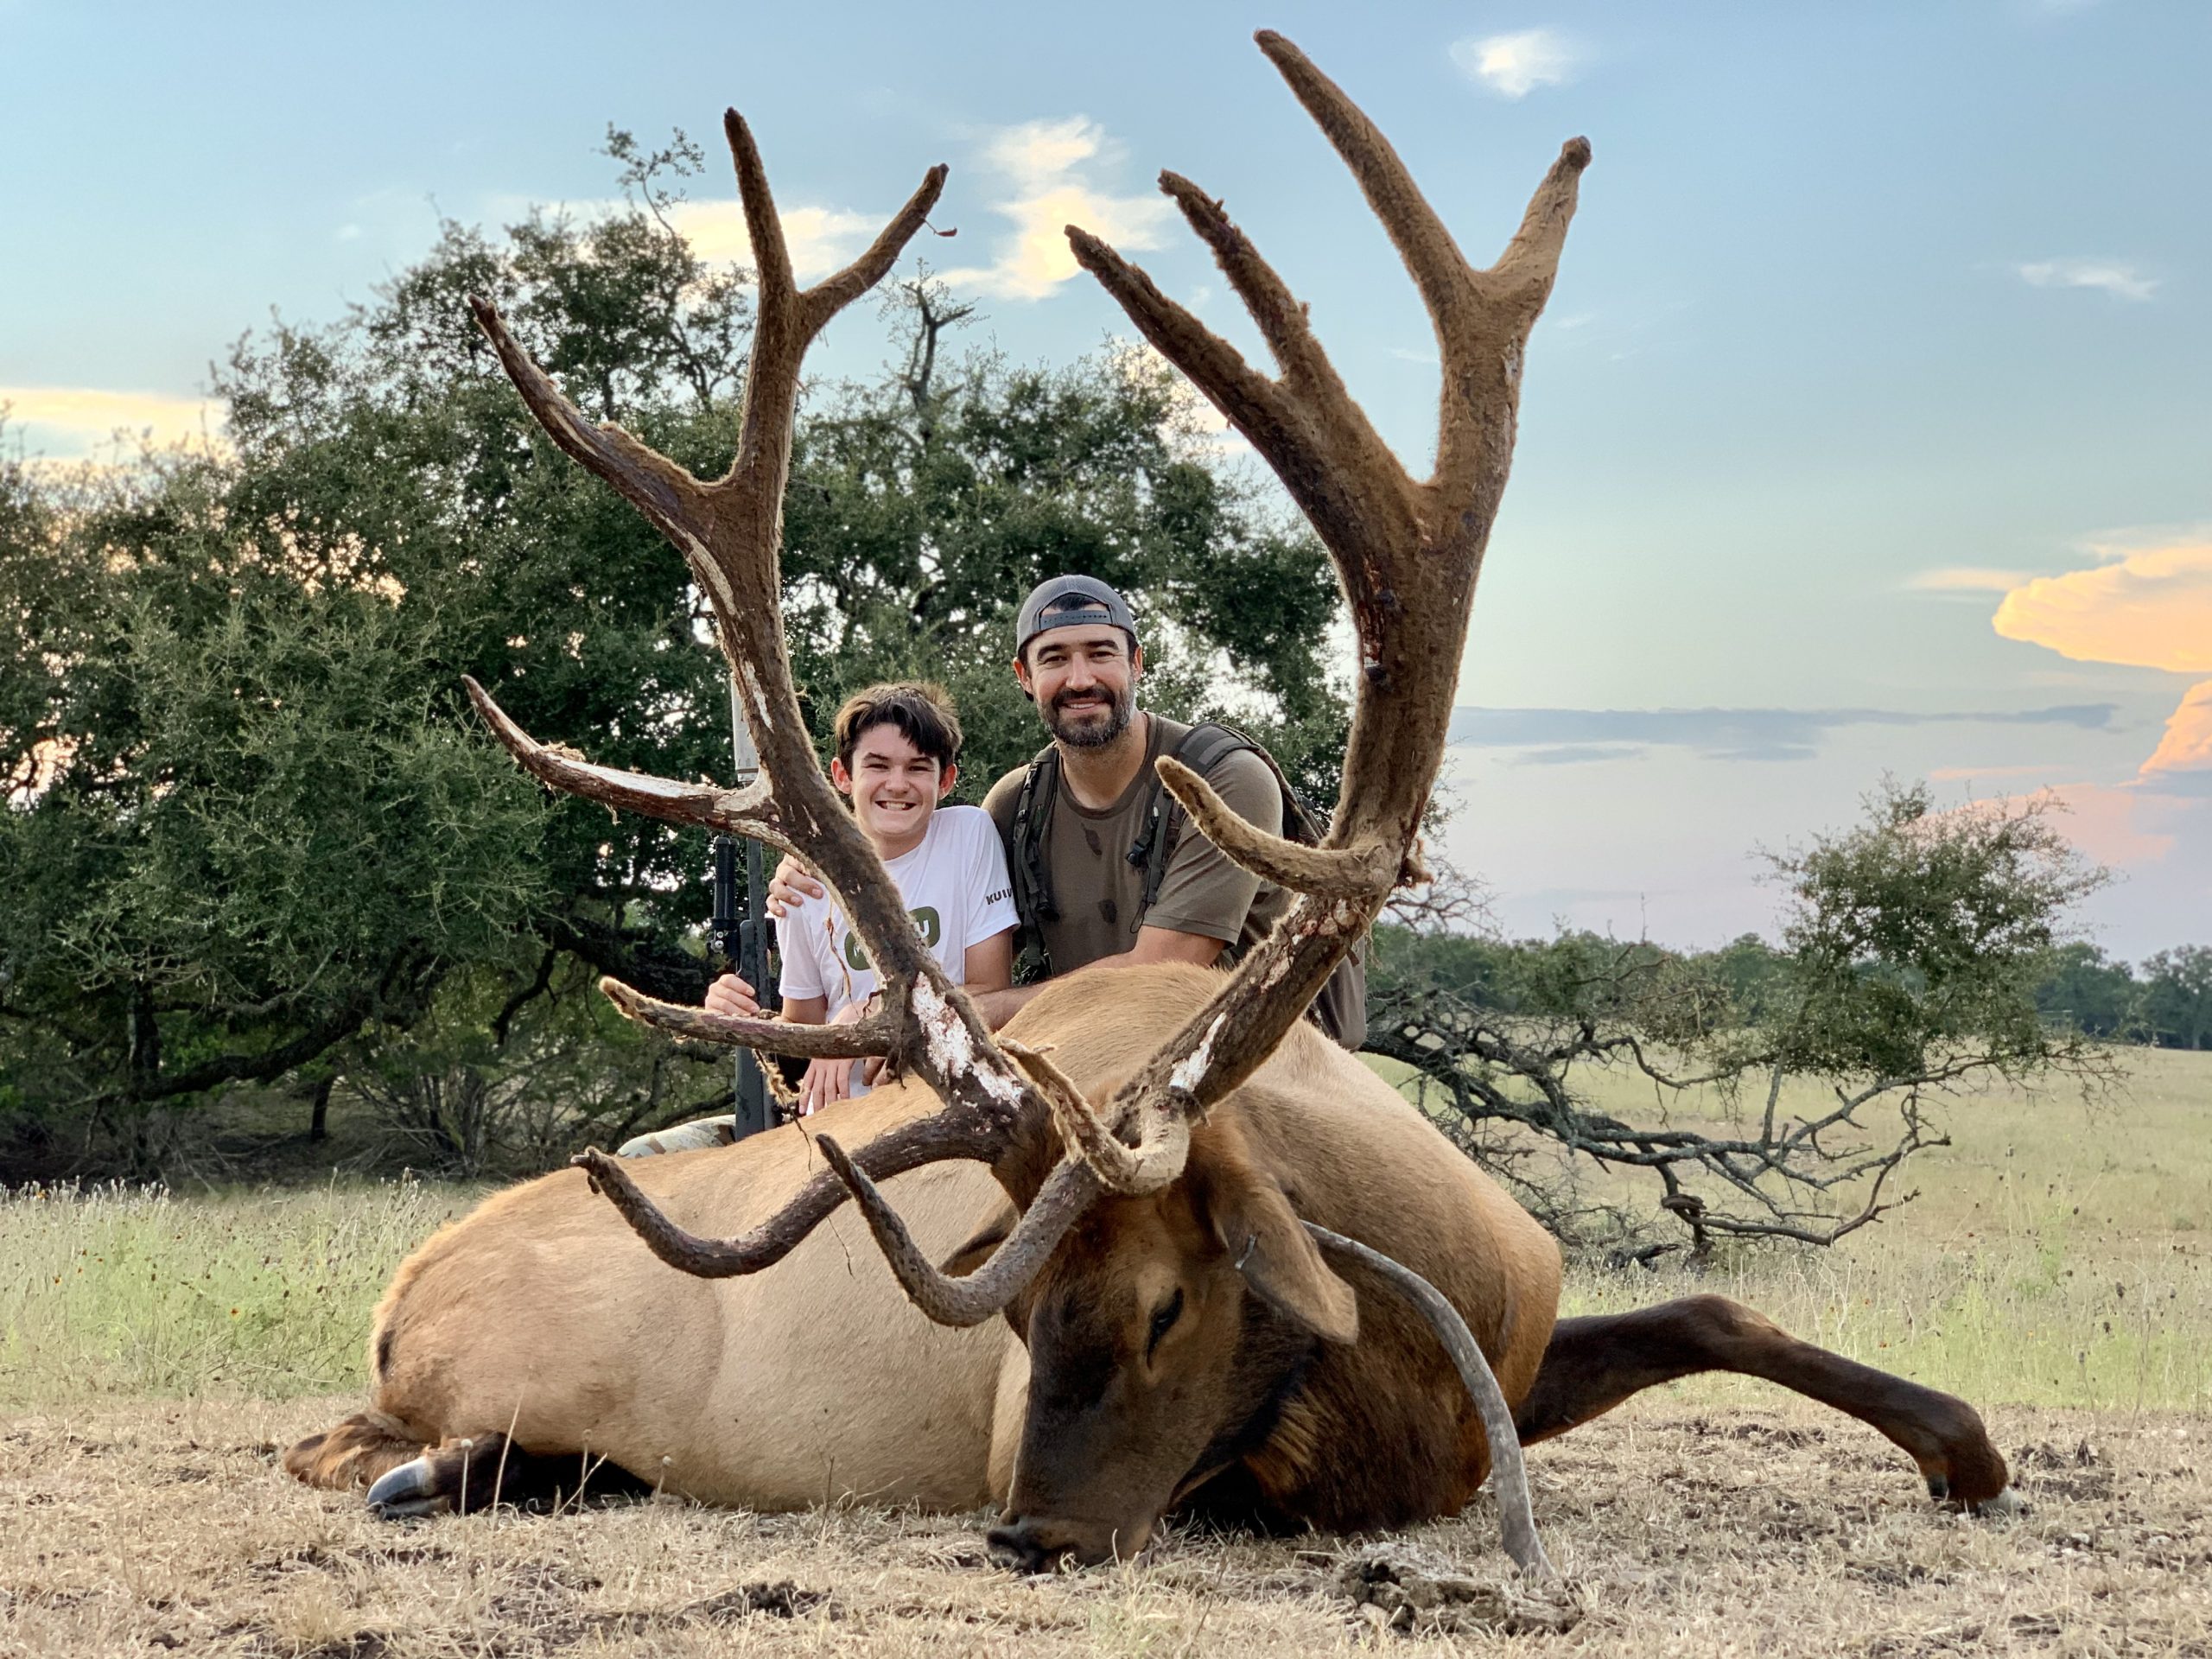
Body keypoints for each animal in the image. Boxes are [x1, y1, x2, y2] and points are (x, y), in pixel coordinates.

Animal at [288, 31, 2016, 1579]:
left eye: (1170, 1304)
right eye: (1018, 1315)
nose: (1023, 1529)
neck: (1403, 1349)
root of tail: (391, 1303)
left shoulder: (1512, 1357)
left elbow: (1716, 1303)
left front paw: (1968, 1451)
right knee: (381, 1443)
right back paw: (442, 1470)